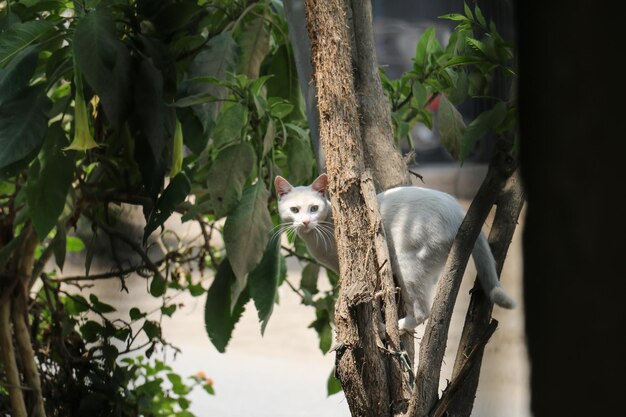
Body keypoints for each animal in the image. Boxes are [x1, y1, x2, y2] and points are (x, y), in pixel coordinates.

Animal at [272, 172, 512, 332]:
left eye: (313, 208)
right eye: (294, 210)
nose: (305, 222)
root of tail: (461, 214)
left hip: (407, 264)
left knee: (423, 311)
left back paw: (392, 326)